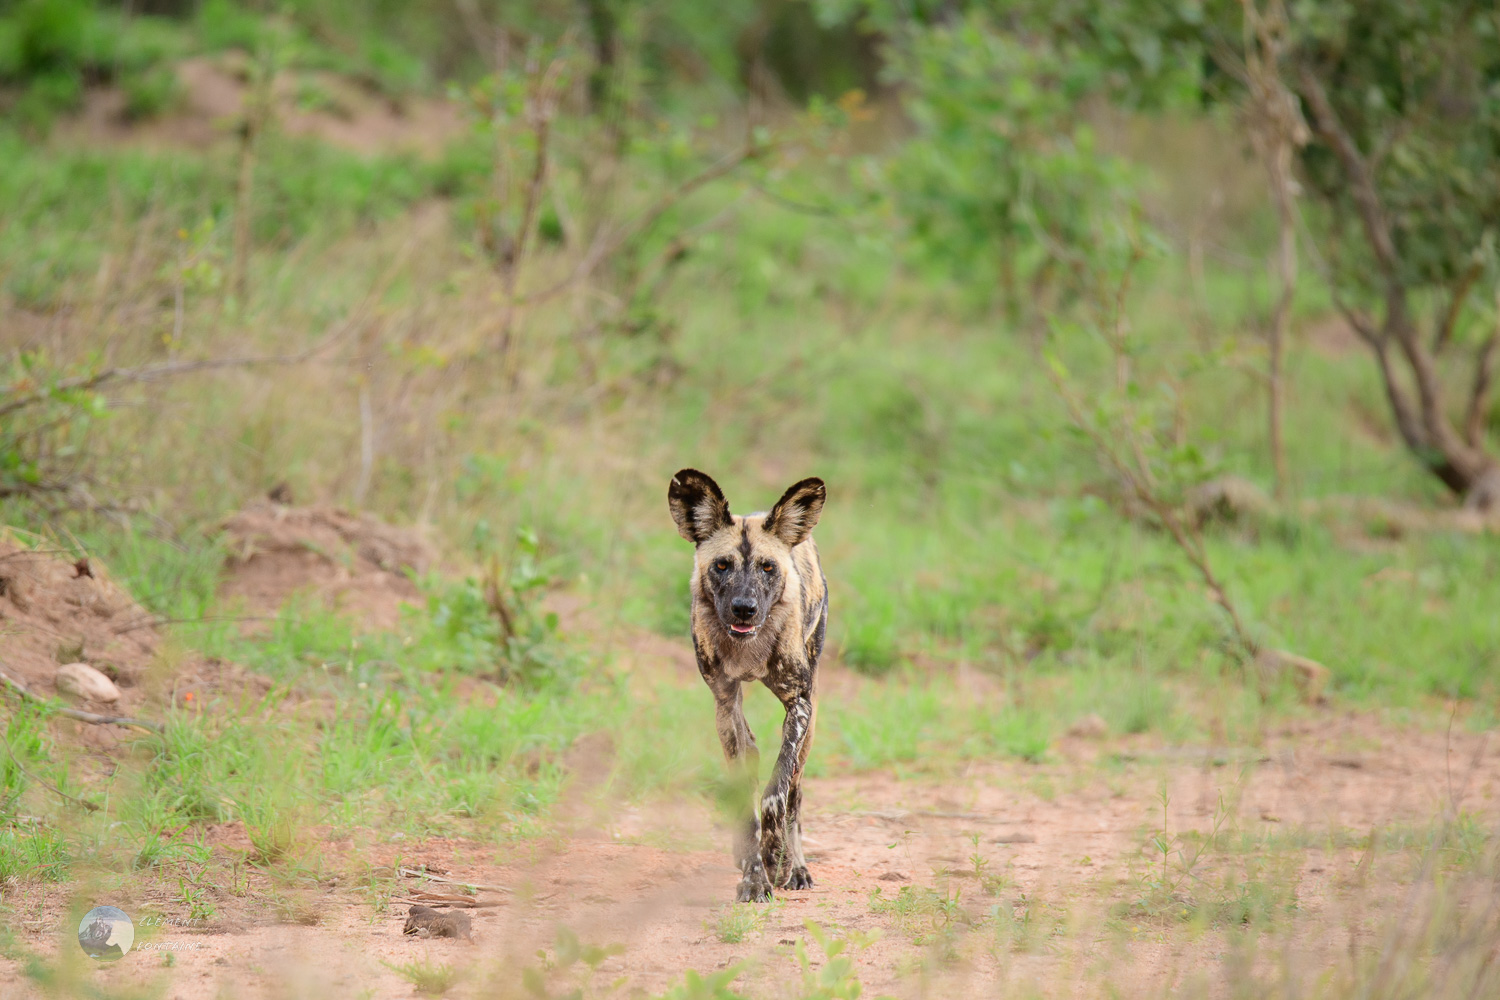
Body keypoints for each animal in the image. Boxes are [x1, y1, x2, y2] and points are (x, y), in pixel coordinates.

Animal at [672, 473, 834, 905]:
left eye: (767, 567)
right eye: (721, 565)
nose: (744, 608)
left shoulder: (798, 704)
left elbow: (775, 793)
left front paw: (775, 860)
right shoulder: (725, 703)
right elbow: (746, 804)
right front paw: (754, 875)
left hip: (811, 721)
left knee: (794, 793)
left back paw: (796, 866)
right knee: (753, 754)